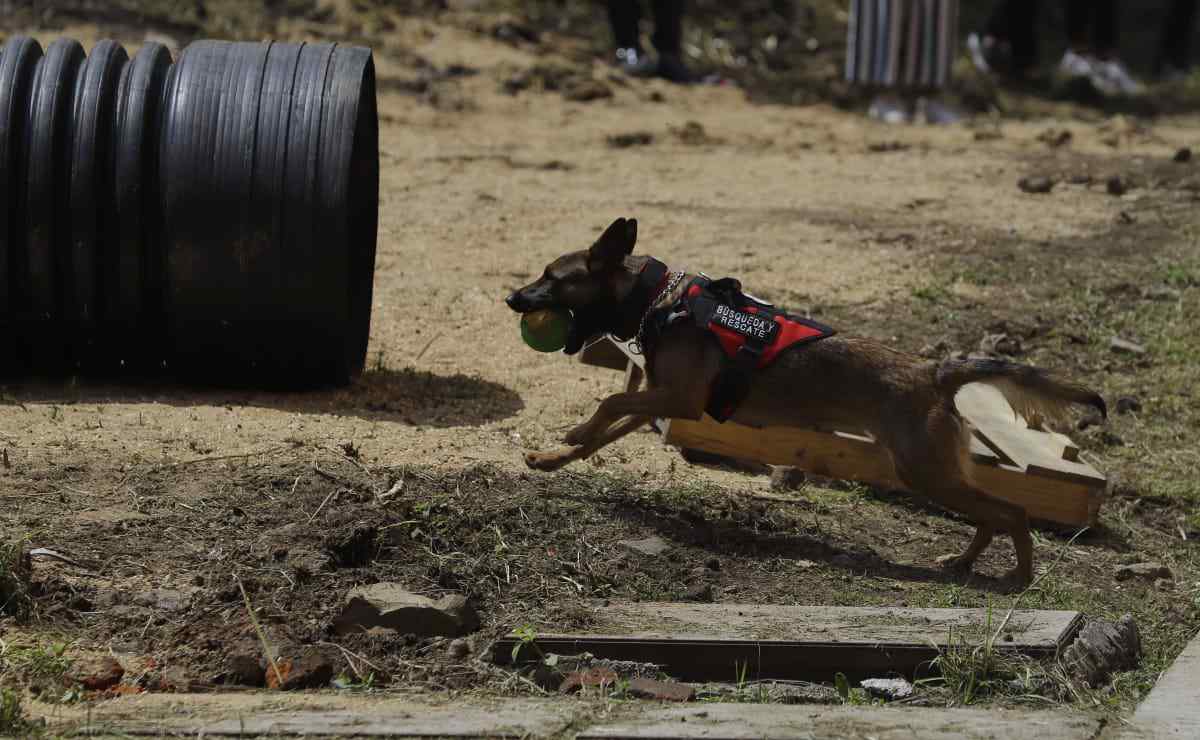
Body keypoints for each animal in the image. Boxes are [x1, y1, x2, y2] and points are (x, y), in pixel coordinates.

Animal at [506, 215, 1104, 585]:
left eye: (552, 276)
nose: (511, 297)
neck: (661, 299)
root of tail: (932, 371)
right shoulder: (660, 400)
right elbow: (607, 425)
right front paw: (555, 457)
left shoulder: (677, 400)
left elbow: (608, 403)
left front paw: (571, 435)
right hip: (933, 472)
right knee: (991, 515)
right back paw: (964, 561)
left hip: (927, 472)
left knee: (1012, 511)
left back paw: (1019, 576)